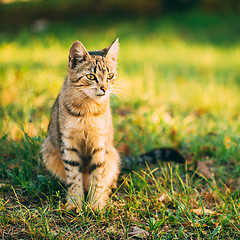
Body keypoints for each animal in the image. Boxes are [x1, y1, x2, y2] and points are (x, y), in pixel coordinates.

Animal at [41, 39, 185, 210]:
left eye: (110, 76)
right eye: (91, 76)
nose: (104, 88)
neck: (88, 110)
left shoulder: (99, 144)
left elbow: (98, 176)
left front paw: (95, 203)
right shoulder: (68, 143)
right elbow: (73, 177)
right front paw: (75, 202)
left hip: (112, 154)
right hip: (48, 150)